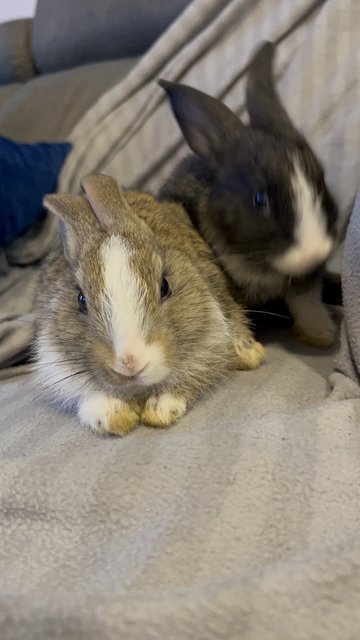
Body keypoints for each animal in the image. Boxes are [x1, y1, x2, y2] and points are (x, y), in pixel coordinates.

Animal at [35, 174, 262, 436]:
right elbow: (90, 397)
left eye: (165, 286)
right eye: (81, 300)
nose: (130, 361)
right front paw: (116, 417)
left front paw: (159, 411)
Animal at [159, 42, 338, 348]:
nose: (314, 253)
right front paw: (241, 344)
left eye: (321, 181)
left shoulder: (305, 281)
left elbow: (306, 299)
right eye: (259, 199)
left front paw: (322, 333)